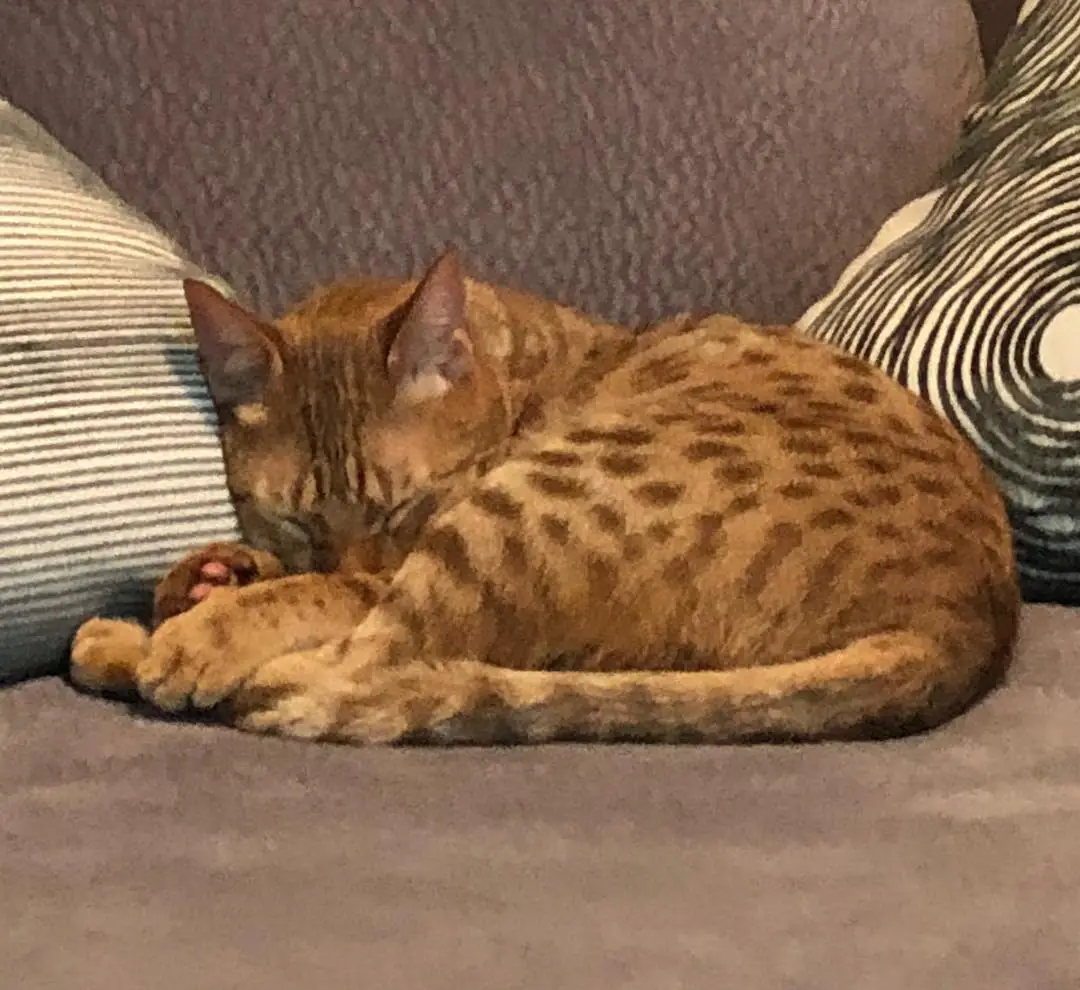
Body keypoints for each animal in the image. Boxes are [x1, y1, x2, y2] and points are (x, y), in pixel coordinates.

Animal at [70, 249, 1021, 744]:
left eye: (402, 509)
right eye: (296, 518)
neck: (514, 358)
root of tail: (959, 624)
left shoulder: (407, 549)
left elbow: (318, 597)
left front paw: (207, 621)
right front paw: (215, 571)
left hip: (515, 513)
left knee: (355, 665)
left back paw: (132, 643)